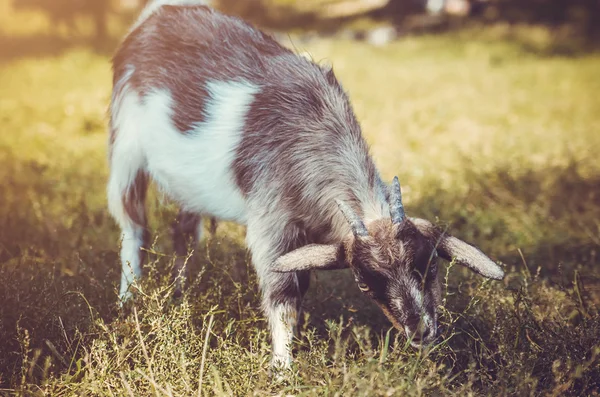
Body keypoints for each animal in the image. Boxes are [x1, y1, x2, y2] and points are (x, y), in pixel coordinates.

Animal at [106, 0, 502, 368]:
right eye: (363, 282)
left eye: (431, 266)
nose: (420, 333)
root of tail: (160, 13)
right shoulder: (271, 226)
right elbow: (283, 298)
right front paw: (283, 368)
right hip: (125, 152)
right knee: (134, 228)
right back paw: (129, 299)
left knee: (184, 233)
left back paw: (181, 293)